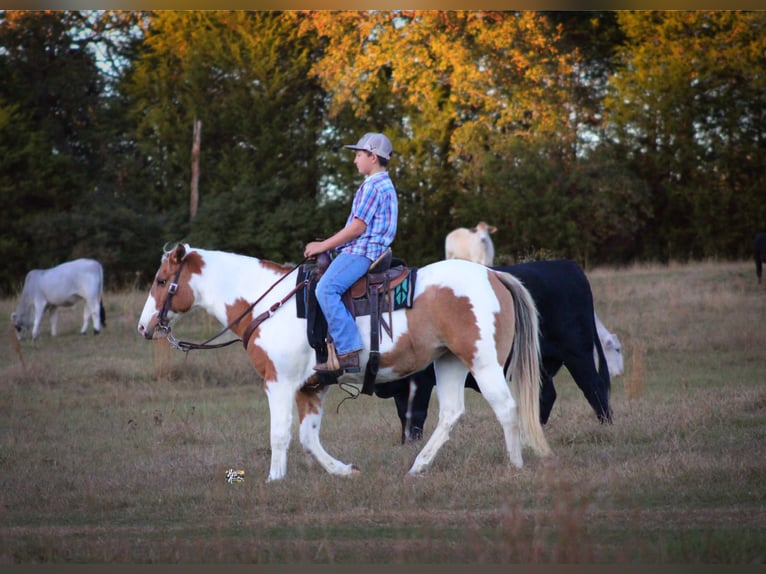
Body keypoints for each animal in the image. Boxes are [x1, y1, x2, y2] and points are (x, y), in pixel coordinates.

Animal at [138, 245, 552, 484]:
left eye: (161, 280)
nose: (144, 327)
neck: (267, 304)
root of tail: (493, 274)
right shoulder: (311, 387)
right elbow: (308, 438)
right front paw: (343, 471)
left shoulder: (278, 382)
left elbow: (280, 434)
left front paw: (274, 480)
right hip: (449, 361)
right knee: (451, 413)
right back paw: (418, 467)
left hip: (482, 363)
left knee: (507, 407)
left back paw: (515, 466)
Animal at [376, 260, 616, 446]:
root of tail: (568, 266)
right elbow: (403, 413)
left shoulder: (420, 380)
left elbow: (415, 413)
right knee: (547, 394)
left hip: (577, 353)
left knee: (594, 387)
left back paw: (606, 427)